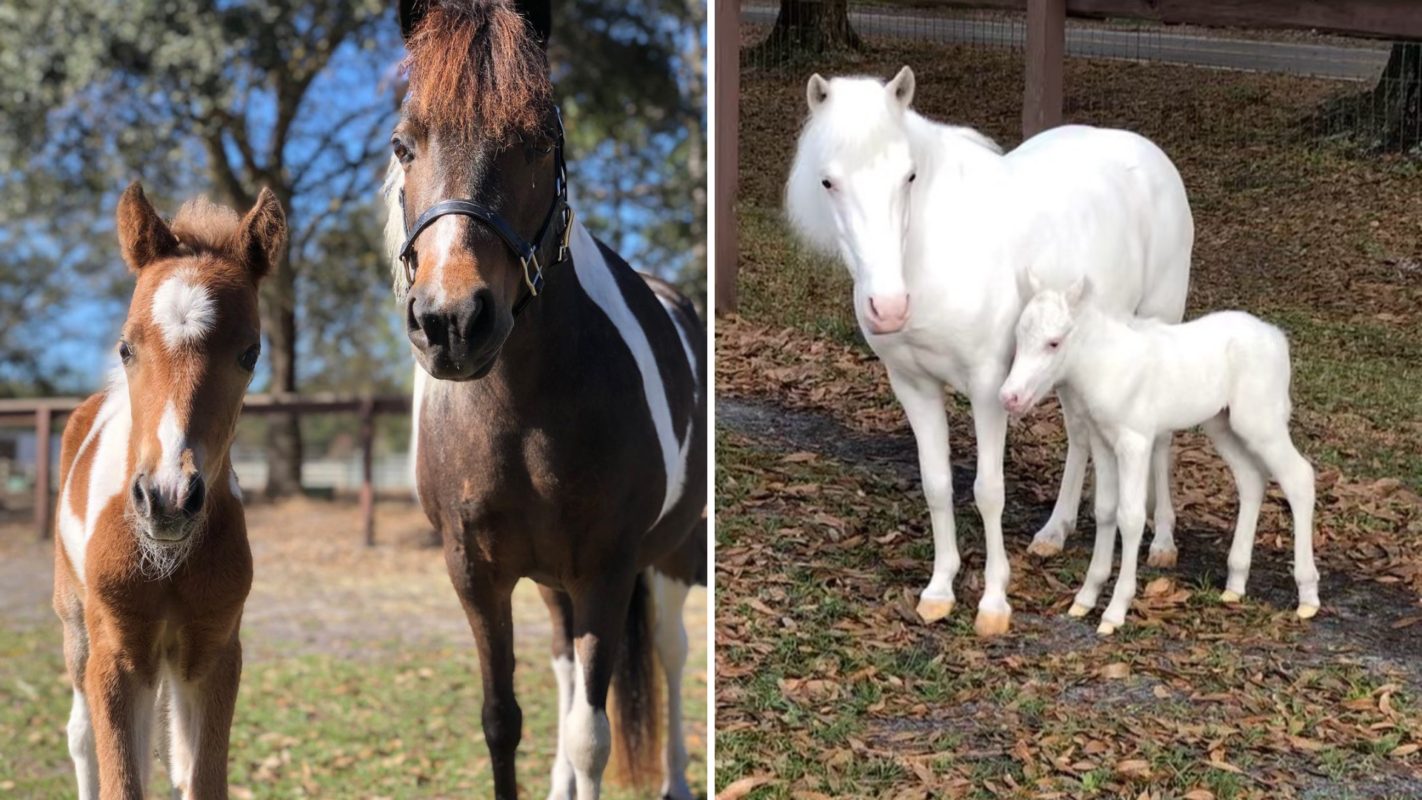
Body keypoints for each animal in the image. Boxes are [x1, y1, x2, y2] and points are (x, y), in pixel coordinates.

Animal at [53, 183, 284, 799]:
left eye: (250, 353)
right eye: (125, 347)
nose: (168, 499)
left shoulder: (213, 650)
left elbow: (198, 778)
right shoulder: (115, 651)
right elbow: (121, 779)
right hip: (74, 621)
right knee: (80, 734)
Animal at [382, 2, 706, 798]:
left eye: (541, 140)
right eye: (405, 144)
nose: (452, 322)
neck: (519, 411)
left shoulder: (608, 569)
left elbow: (592, 734)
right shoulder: (476, 573)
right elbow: (503, 722)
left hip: (672, 556)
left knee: (671, 652)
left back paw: (678, 779)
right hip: (556, 583)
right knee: (564, 667)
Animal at [785, 67, 1194, 637]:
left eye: (909, 177)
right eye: (828, 181)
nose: (888, 308)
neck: (933, 256)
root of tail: (1151, 155)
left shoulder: (987, 387)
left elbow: (988, 490)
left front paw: (994, 602)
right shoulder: (912, 385)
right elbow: (937, 483)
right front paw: (939, 590)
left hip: (1158, 321)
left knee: (1160, 437)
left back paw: (1163, 542)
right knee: (1079, 434)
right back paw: (1055, 531)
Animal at [1001, 275, 1320, 633]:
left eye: (1054, 343)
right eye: (1019, 337)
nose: (1010, 397)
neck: (1106, 365)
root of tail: (1277, 338)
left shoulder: (1135, 442)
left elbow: (1131, 517)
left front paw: (1115, 611)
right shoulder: (1103, 441)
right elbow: (1105, 510)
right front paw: (1086, 597)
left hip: (1260, 422)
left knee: (1299, 477)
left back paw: (1308, 596)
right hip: (1222, 423)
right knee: (1252, 479)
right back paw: (1236, 583)